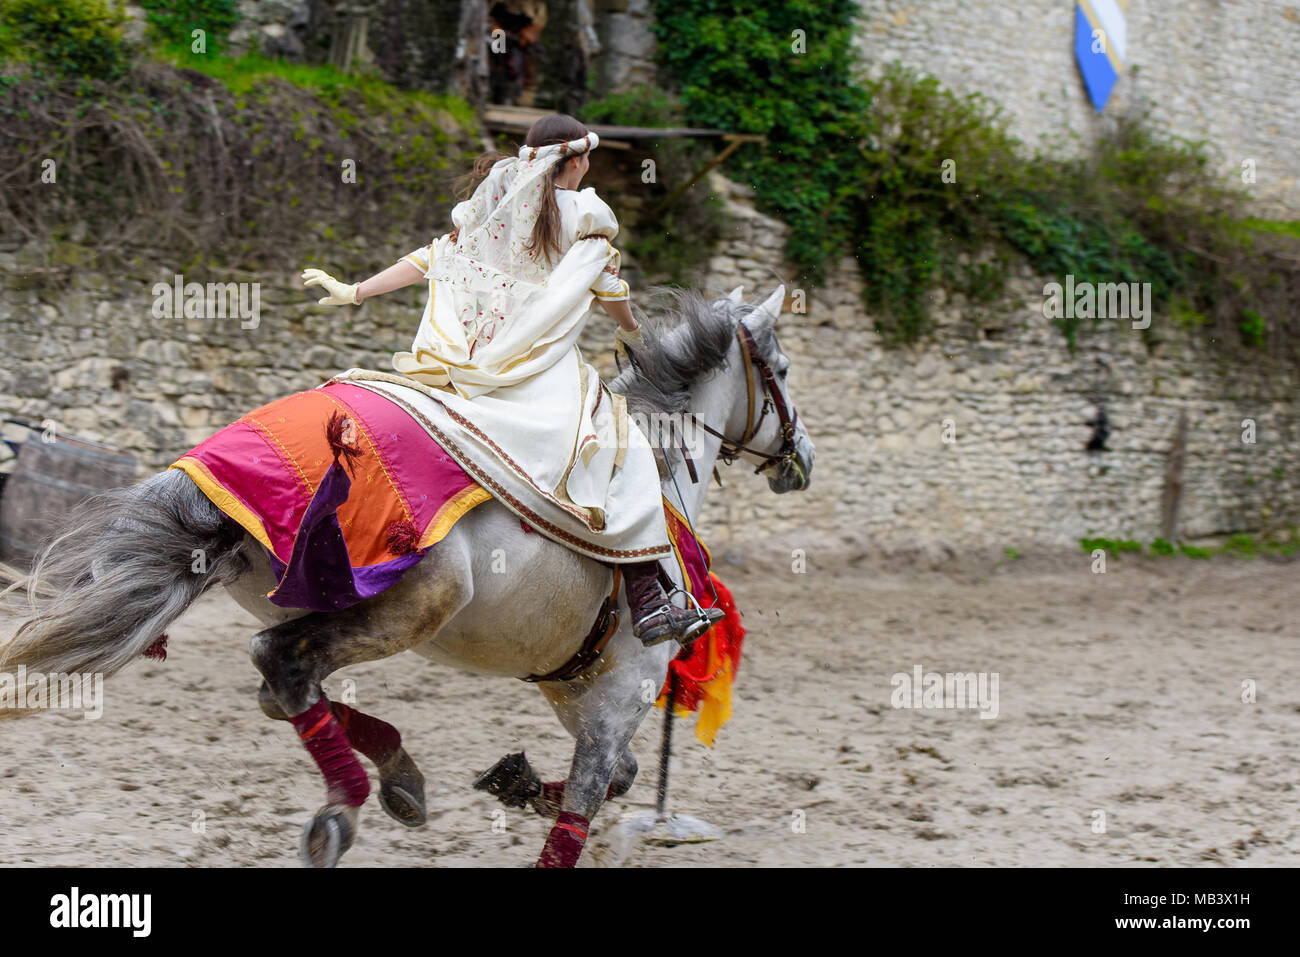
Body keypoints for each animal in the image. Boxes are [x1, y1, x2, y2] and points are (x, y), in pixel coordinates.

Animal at [0, 283, 811, 868]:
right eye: (782, 371)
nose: (801, 459)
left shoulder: (572, 689)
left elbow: (621, 777)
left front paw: (514, 781)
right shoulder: (623, 690)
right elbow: (590, 797)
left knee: (279, 683)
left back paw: (396, 778)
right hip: (414, 604)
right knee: (280, 662)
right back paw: (345, 804)